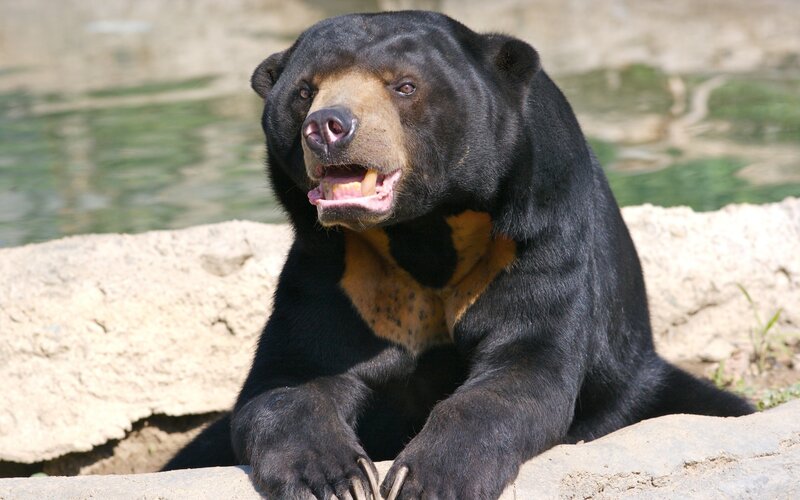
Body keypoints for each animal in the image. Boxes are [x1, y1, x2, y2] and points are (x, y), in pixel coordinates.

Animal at [164, 11, 753, 500]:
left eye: (404, 86)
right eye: (304, 92)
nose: (328, 126)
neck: (423, 229)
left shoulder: (537, 236)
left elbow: (523, 366)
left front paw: (427, 479)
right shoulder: (338, 266)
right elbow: (291, 376)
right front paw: (336, 480)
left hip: (635, 379)